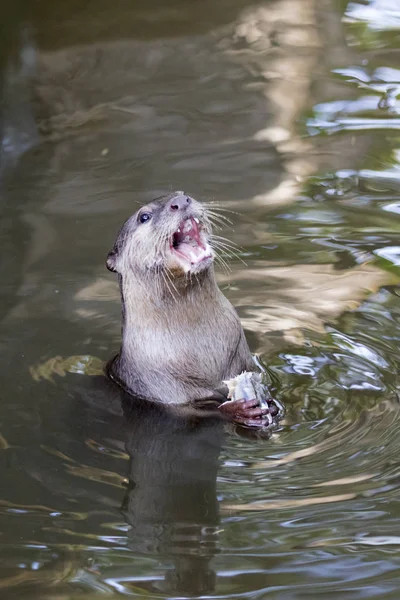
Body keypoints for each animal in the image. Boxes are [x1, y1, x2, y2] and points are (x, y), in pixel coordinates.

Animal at [104, 192, 276, 426]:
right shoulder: (160, 389)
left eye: (182, 193)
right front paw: (239, 409)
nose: (179, 201)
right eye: (144, 217)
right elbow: (196, 410)